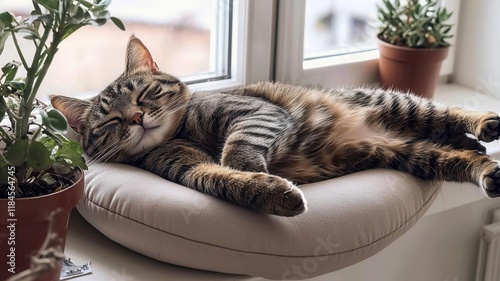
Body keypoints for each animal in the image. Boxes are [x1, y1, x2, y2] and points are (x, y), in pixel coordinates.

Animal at [50, 36, 500, 215]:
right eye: (110, 119)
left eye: (143, 94)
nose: (136, 118)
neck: (181, 132)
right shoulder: (186, 168)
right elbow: (222, 179)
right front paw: (273, 194)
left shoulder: (254, 114)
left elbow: (237, 150)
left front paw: (253, 169)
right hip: (412, 155)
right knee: (456, 154)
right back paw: (483, 165)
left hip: (395, 103)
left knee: (445, 113)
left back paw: (483, 125)